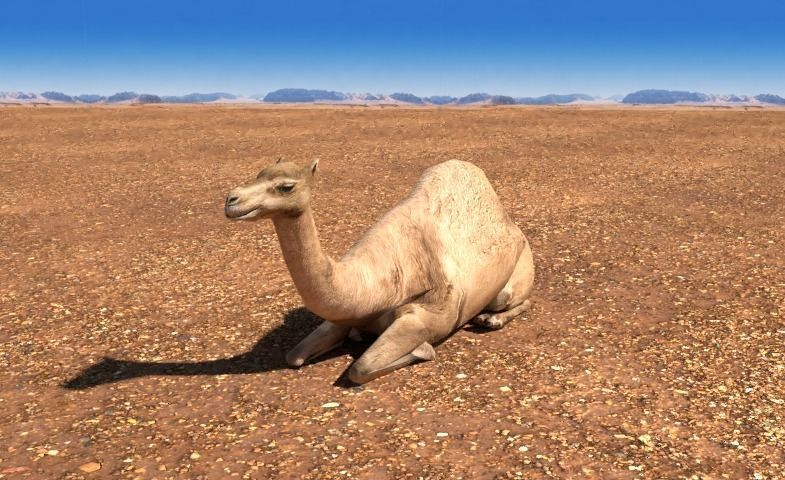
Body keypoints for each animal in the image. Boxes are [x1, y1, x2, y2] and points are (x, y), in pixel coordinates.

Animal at [224, 158, 534, 384]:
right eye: (258, 173)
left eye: (286, 186)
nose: (231, 199)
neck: (375, 285)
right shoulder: (343, 316)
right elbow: (294, 357)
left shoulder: (430, 313)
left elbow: (360, 368)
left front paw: (422, 350)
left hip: (518, 270)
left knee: (515, 299)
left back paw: (490, 320)